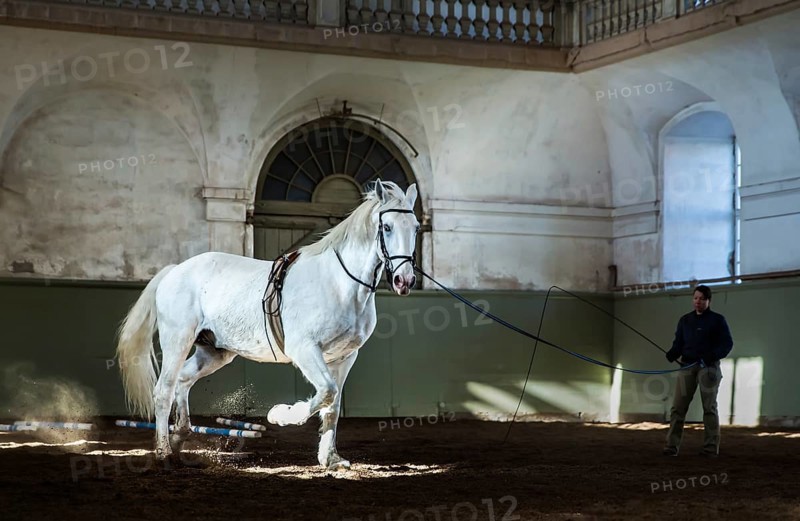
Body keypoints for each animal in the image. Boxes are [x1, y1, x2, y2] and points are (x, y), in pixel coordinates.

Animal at [116, 180, 419, 469]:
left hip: (214, 352)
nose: (404, 280)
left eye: (416, 228)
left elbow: (332, 405)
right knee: (163, 390)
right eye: (387, 227)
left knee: (183, 380)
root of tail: (174, 271)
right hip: (177, 340)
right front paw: (282, 415)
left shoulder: (344, 357)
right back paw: (164, 453)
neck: (340, 284)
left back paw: (180, 436)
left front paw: (331, 459)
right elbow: (326, 391)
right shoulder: (305, 349)